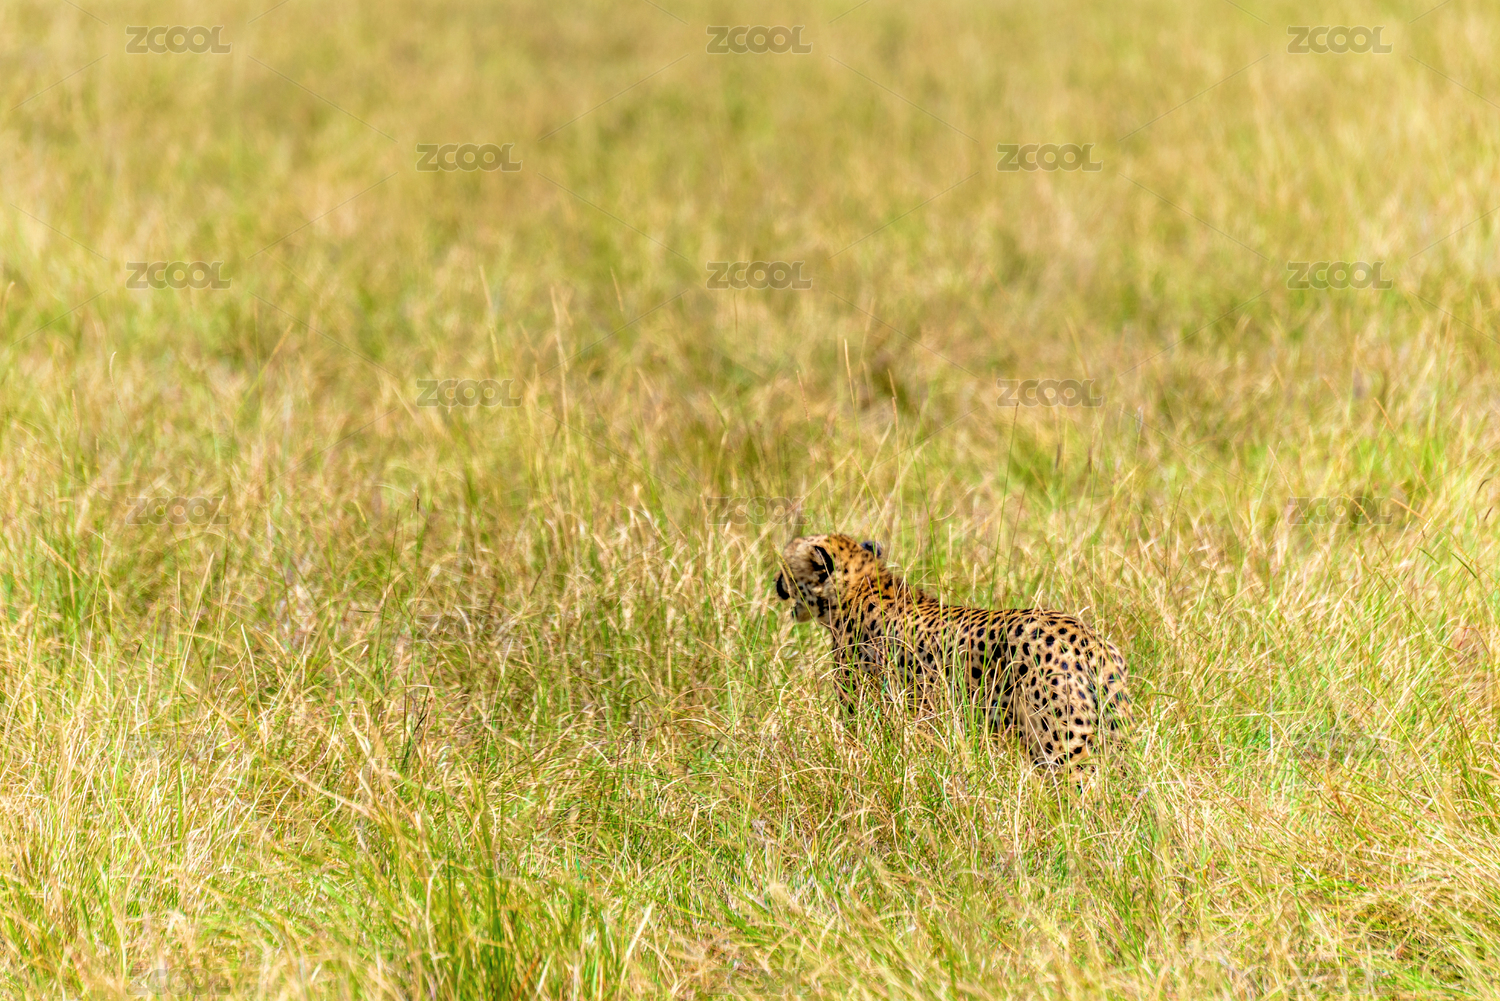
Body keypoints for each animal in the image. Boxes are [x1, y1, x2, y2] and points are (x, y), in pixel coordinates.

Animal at [774, 533, 1131, 772]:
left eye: (785, 566)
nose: (776, 581)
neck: (863, 583)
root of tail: (1087, 638)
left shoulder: (866, 712)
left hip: (1061, 745)